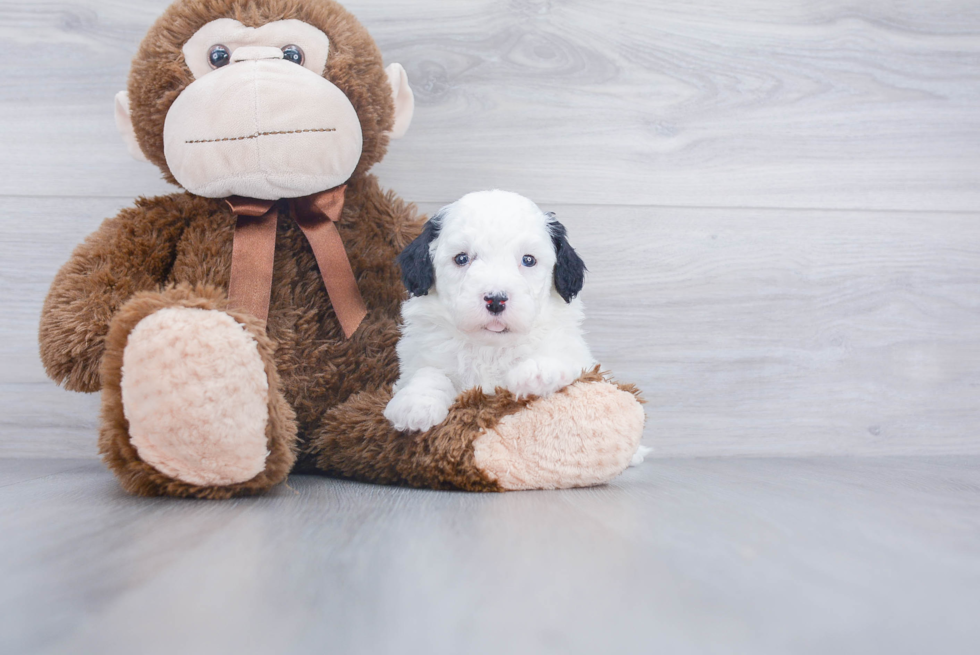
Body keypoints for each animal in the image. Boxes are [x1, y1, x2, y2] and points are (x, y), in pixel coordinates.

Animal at [386, 191, 592, 436]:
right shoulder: (420, 356)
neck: (490, 349)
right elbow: (428, 372)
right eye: (462, 258)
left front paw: (538, 373)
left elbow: (561, 356)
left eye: (528, 260)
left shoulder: (578, 356)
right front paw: (416, 403)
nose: (496, 300)